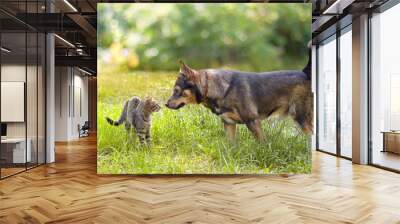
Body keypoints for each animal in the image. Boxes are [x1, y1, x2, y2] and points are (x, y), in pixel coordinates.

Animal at [165, 45, 312, 141]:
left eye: (176, 91)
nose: (166, 104)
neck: (222, 89)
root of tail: (304, 73)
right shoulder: (229, 124)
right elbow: (230, 146)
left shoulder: (253, 121)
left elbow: (262, 143)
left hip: (302, 118)